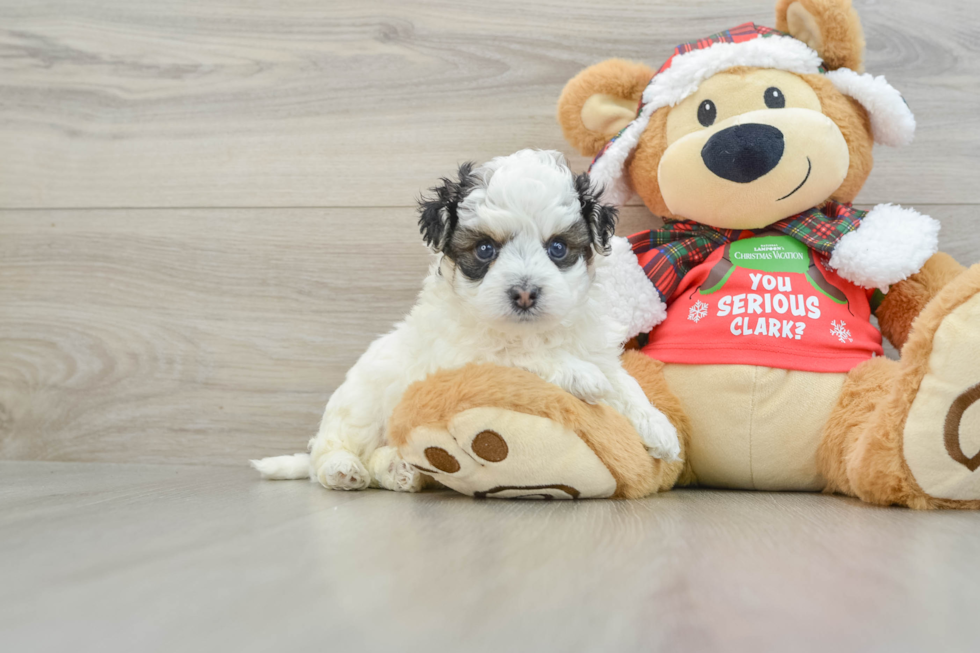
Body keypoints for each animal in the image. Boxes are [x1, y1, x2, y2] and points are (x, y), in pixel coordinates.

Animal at [253, 150, 680, 492]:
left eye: (558, 248)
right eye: (485, 249)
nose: (524, 293)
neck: (530, 331)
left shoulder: (595, 348)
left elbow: (624, 384)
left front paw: (659, 428)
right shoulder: (460, 358)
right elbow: (515, 357)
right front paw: (579, 376)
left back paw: (400, 472)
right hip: (358, 406)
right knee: (326, 454)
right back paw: (343, 470)